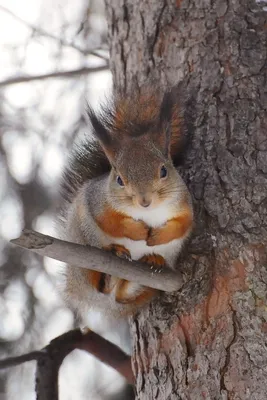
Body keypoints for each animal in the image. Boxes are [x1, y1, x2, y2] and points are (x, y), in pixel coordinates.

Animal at [57, 84, 194, 322]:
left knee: (121, 295)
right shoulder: (97, 202)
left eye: (164, 170)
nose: (144, 201)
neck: (149, 213)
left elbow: (183, 225)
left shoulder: (184, 205)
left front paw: (157, 236)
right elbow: (111, 222)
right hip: (84, 253)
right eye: (119, 179)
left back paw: (151, 261)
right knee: (100, 286)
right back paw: (112, 261)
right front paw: (139, 231)